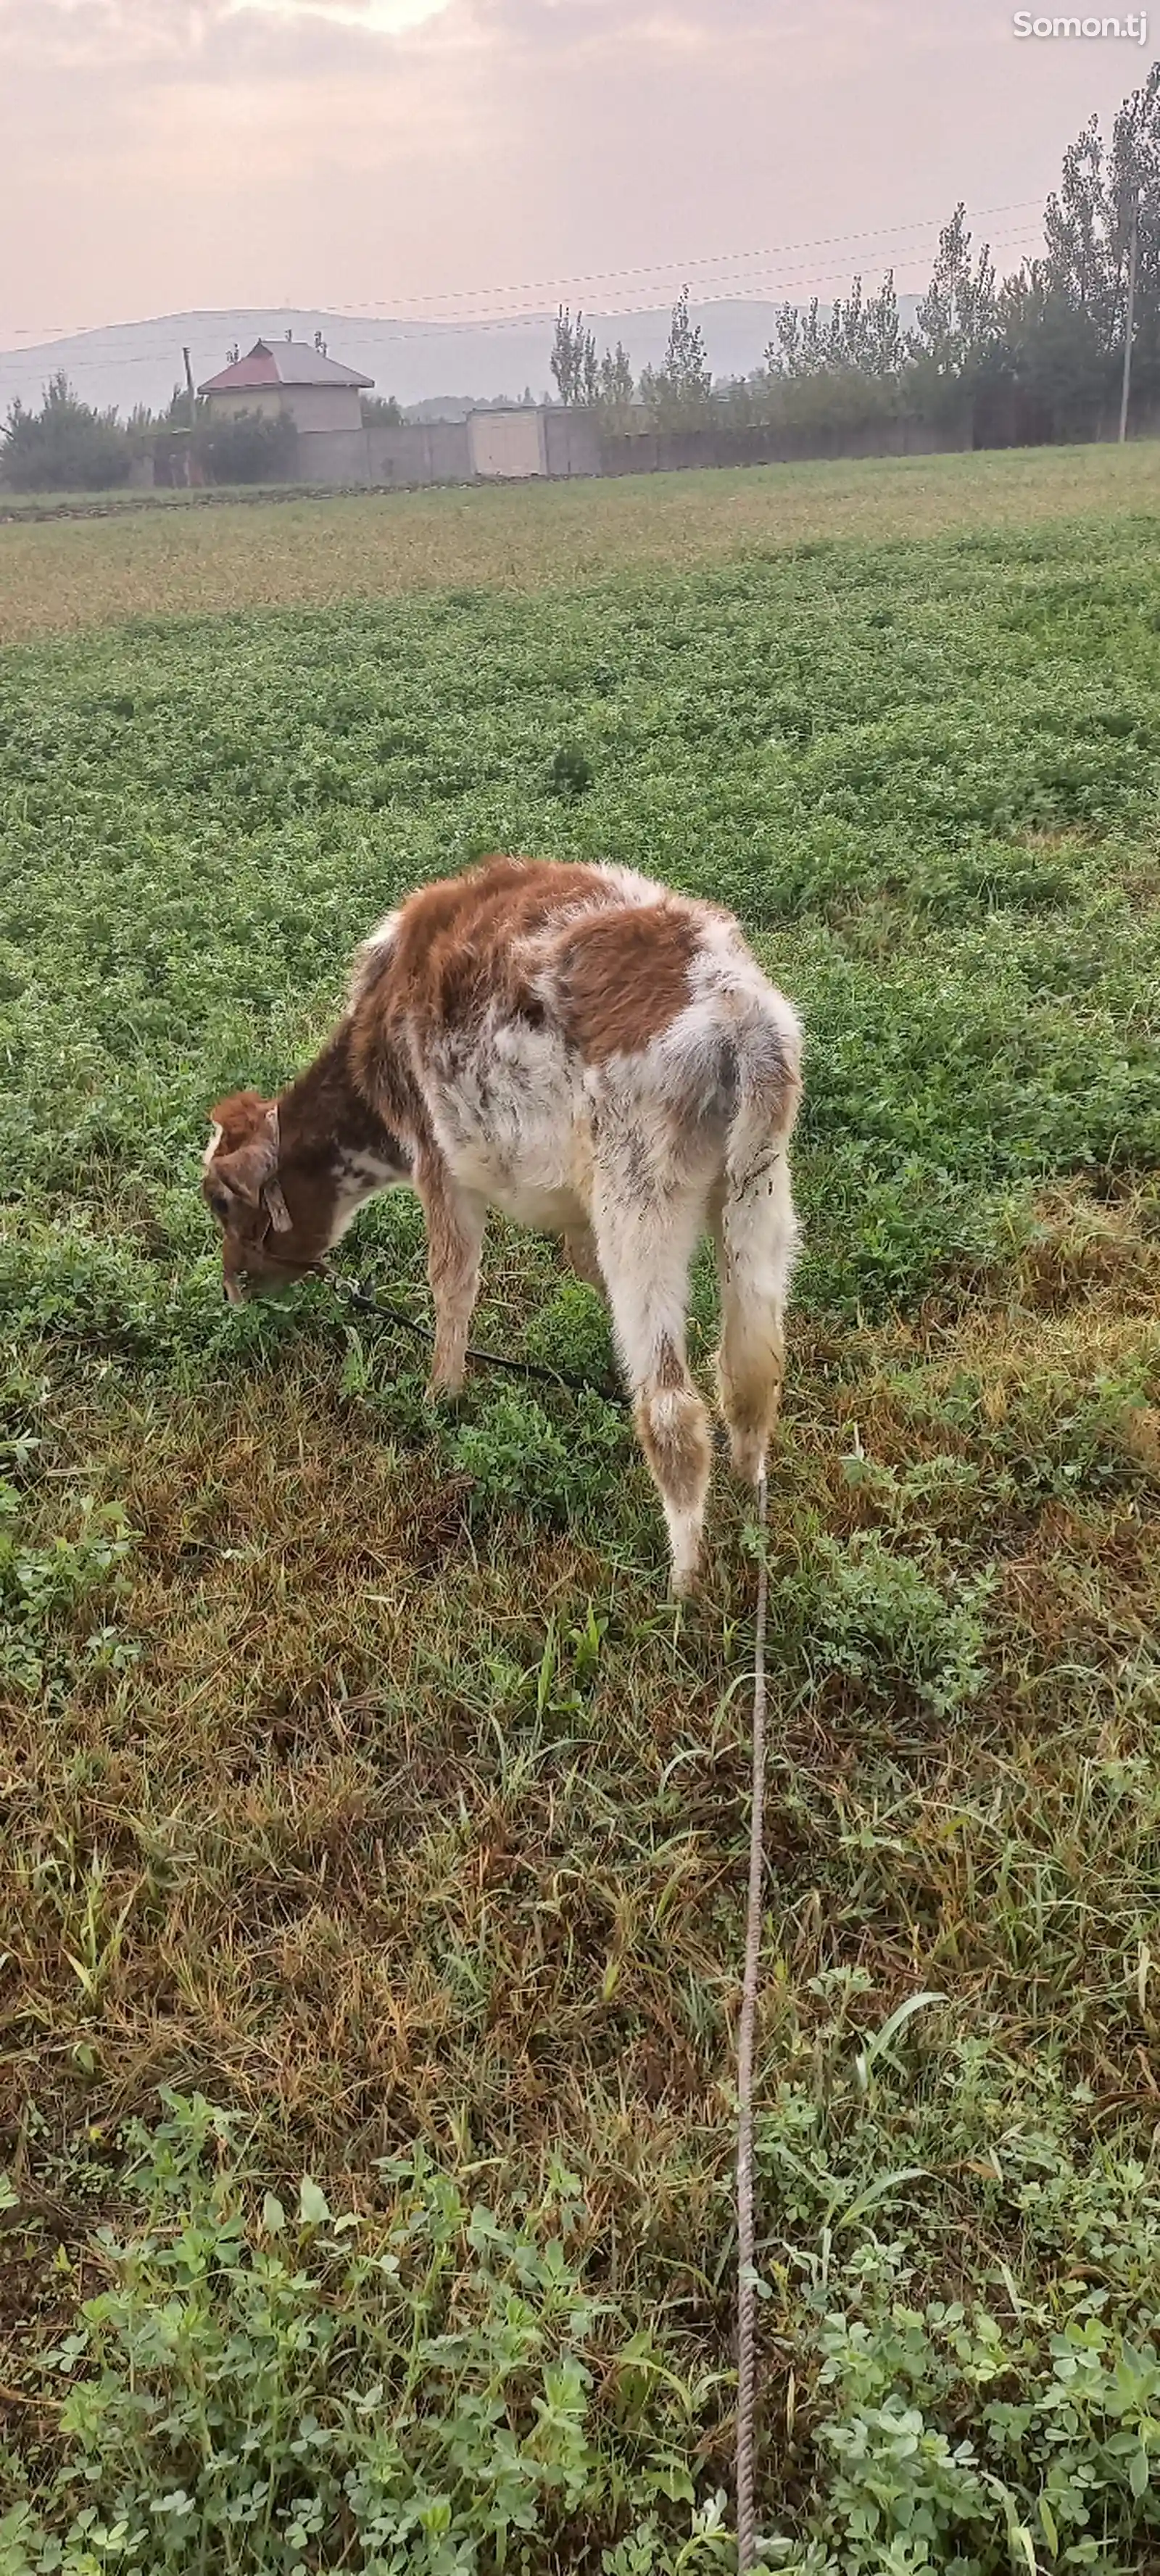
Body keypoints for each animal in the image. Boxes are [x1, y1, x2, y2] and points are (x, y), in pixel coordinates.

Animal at [203, 860, 804, 1586]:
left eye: (220, 1201)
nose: (231, 1288)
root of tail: (734, 1013)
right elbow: (582, 1268)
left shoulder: (438, 1160)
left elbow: (452, 1283)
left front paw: (441, 1396)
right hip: (760, 1198)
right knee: (749, 1375)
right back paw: (750, 1510)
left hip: (641, 1205)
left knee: (673, 1412)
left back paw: (683, 1592)